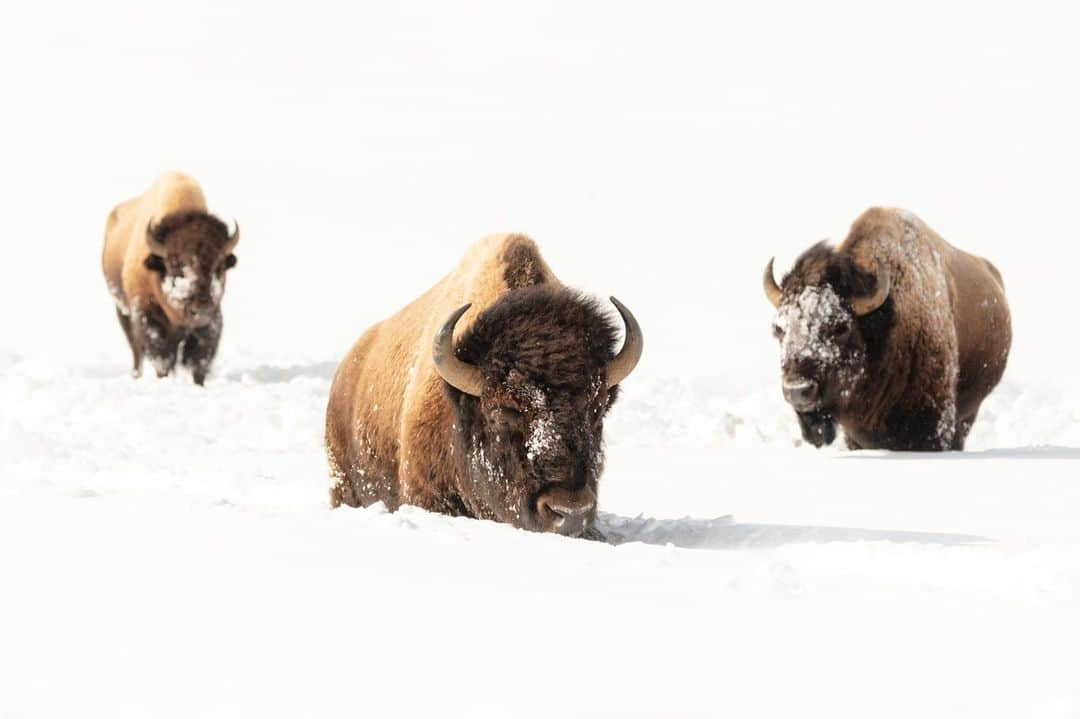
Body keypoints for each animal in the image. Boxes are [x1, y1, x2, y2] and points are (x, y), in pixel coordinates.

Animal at [101, 170, 238, 384]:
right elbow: (161, 358)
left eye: (221, 264)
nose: (201, 308)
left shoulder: (212, 320)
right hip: (122, 310)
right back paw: (136, 376)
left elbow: (199, 360)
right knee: (136, 352)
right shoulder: (146, 317)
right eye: (174, 264)